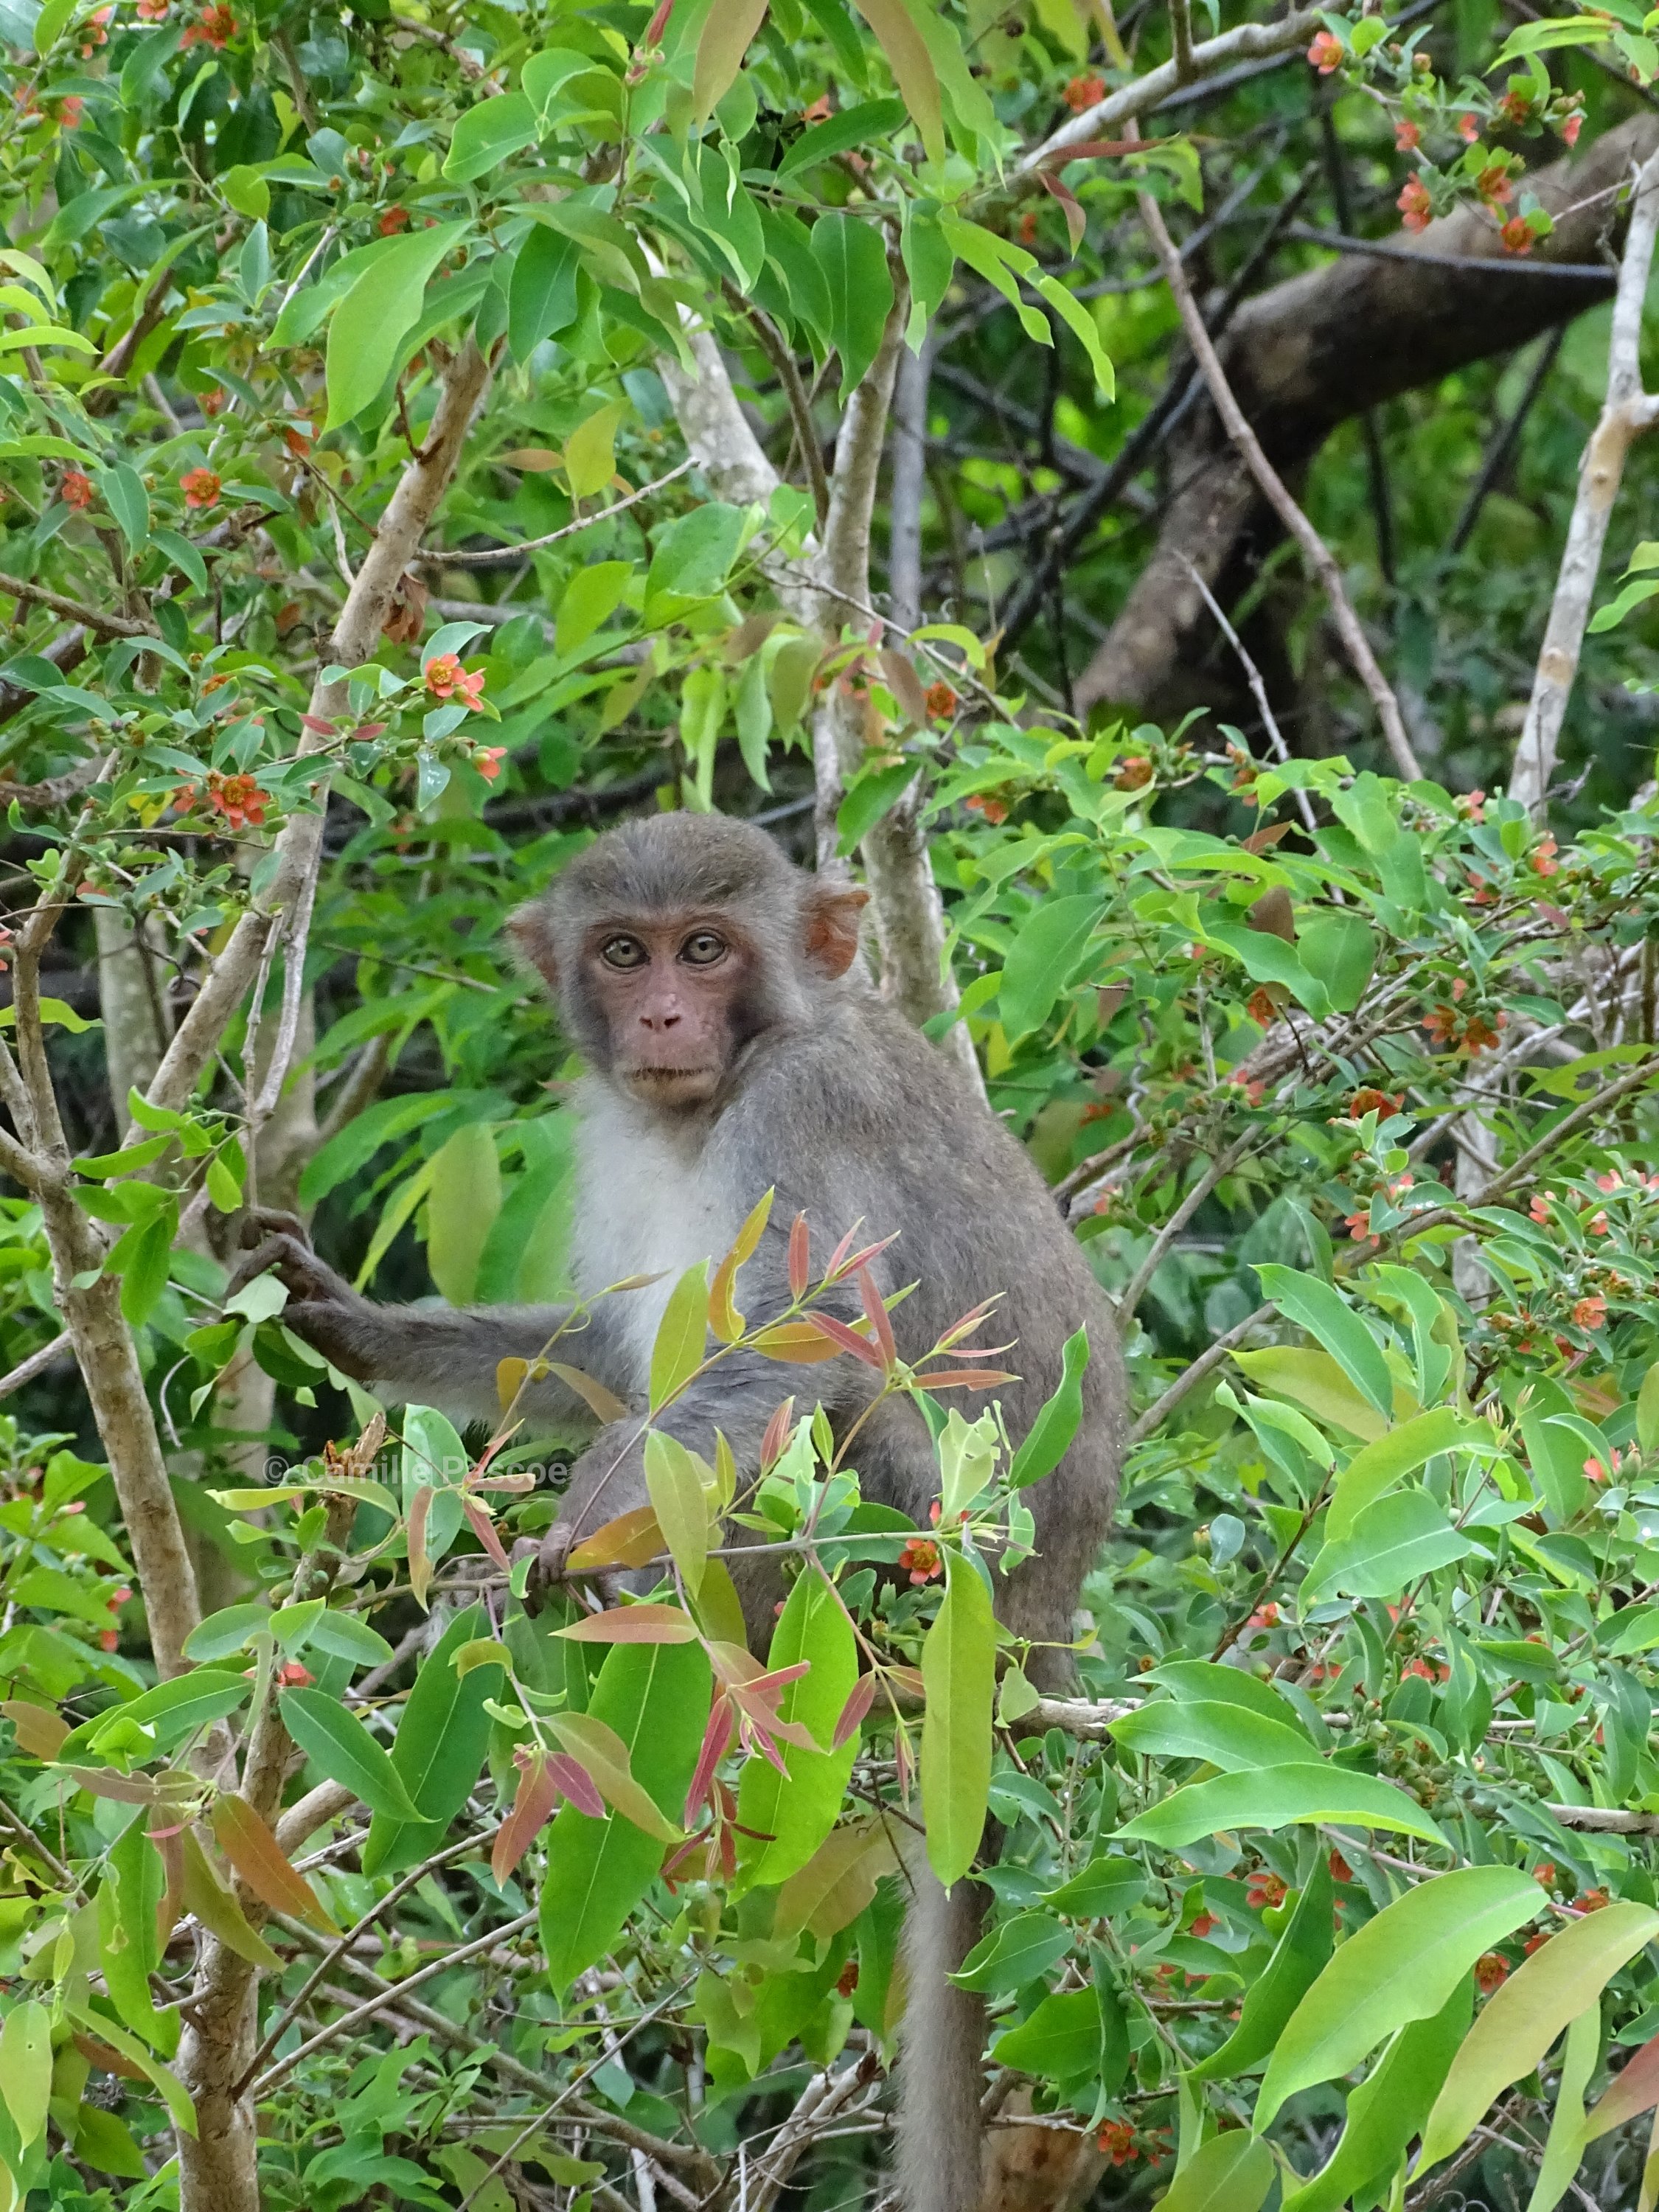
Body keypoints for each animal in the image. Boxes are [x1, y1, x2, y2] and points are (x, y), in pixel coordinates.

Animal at [237, 814, 1133, 2212]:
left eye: (705, 950)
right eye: (625, 952)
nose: (662, 1013)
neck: (722, 1086)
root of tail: (1029, 1640)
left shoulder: (804, 1109)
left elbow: (800, 1347)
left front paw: (563, 1542)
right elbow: (607, 1354)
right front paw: (358, 1327)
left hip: (909, 1569)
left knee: (828, 1438)